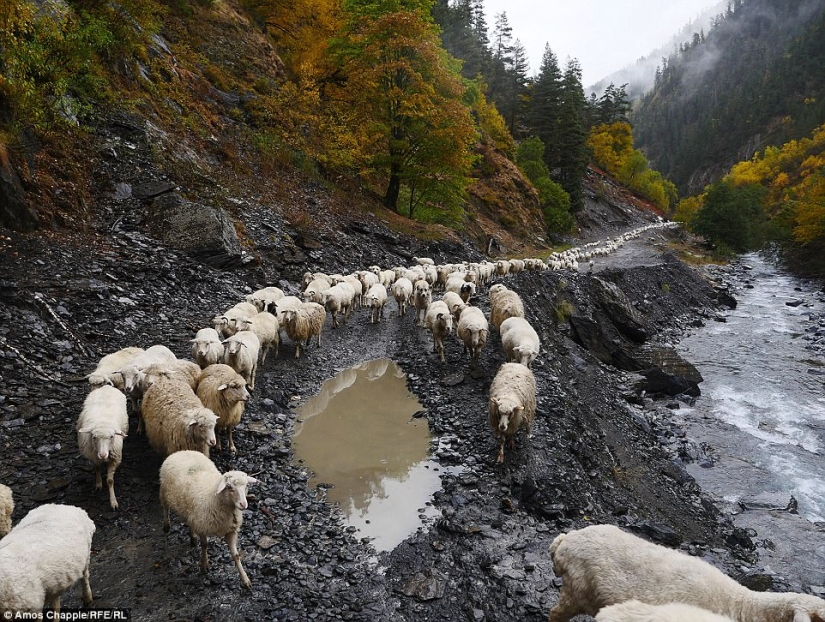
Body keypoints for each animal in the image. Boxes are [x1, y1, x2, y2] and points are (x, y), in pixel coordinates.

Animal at [159, 451, 257, 589]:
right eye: (229, 487)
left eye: (247, 485)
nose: (243, 504)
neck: (214, 497)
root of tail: (181, 451)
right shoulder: (202, 527)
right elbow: (205, 545)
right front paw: (204, 565)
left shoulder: (230, 530)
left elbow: (236, 555)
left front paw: (245, 579)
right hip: (164, 492)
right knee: (165, 508)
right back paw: (166, 526)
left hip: (190, 511)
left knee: (189, 521)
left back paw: (192, 537)